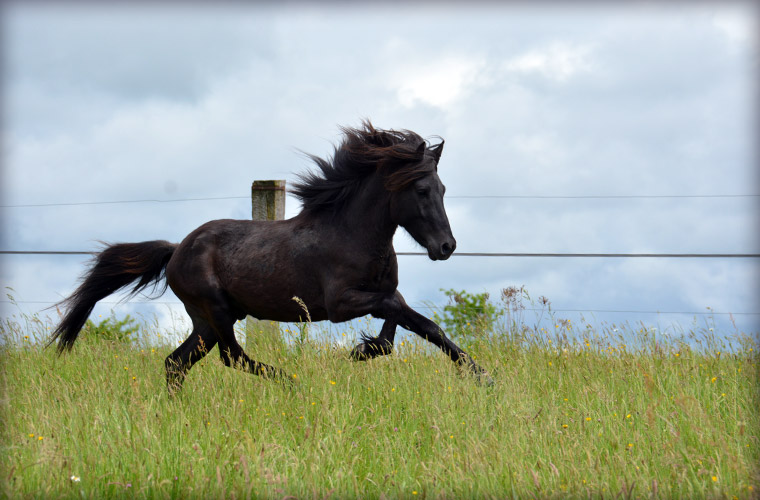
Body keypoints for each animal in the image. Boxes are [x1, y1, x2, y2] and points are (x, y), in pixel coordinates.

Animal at [49, 122, 492, 394]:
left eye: (443, 189)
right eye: (421, 190)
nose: (446, 247)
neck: (352, 234)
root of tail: (176, 250)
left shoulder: (383, 294)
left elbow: (416, 324)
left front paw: (482, 376)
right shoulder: (340, 304)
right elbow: (401, 316)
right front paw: (355, 352)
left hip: (209, 319)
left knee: (177, 363)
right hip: (215, 309)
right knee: (230, 356)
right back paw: (291, 380)